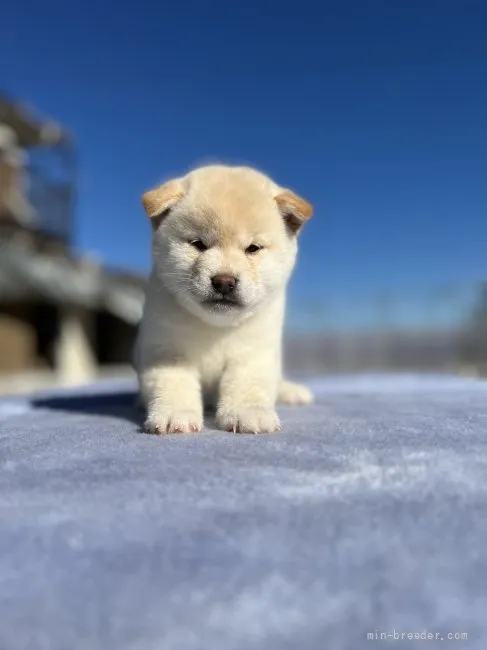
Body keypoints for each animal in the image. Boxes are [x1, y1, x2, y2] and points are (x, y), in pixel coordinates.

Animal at [133, 165, 314, 432]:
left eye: (252, 248)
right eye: (198, 244)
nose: (224, 282)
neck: (215, 327)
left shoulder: (253, 352)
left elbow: (247, 386)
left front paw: (248, 414)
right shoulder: (166, 351)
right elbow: (174, 386)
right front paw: (175, 415)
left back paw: (291, 392)